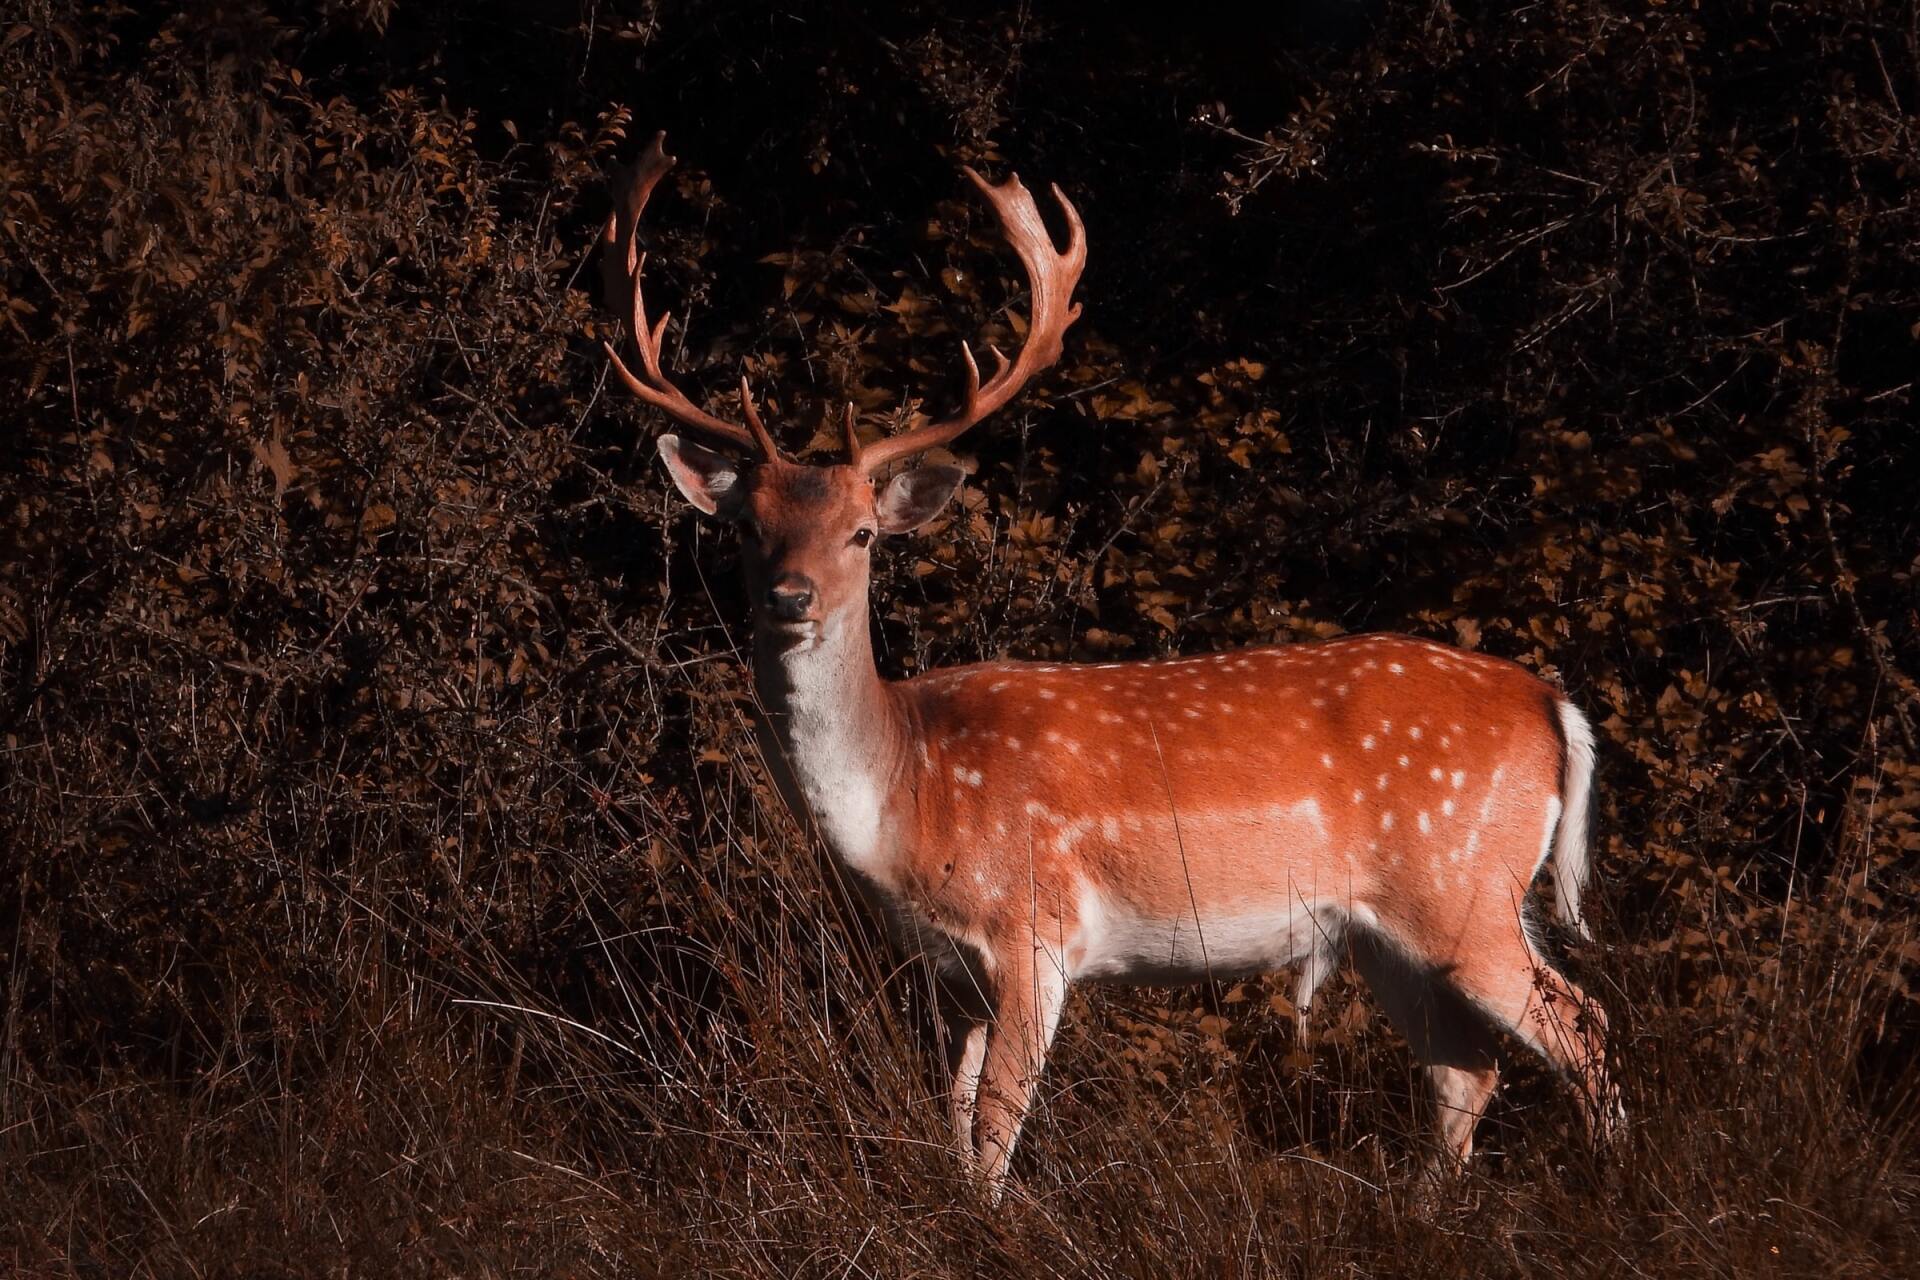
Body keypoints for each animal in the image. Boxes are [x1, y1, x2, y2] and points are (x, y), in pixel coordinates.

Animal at [598, 132, 1620, 1201]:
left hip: (1464, 884)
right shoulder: (951, 976)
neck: (909, 796)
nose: (791, 597)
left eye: (864, 533)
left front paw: (996, 1223)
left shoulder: (1033, 930)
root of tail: (1554, 705)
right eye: (748, 528)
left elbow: (996, 1128)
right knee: (1467, 1067)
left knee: (1582, 1026)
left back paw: (1613, 1189)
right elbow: (951, 1122)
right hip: (1388, 925)